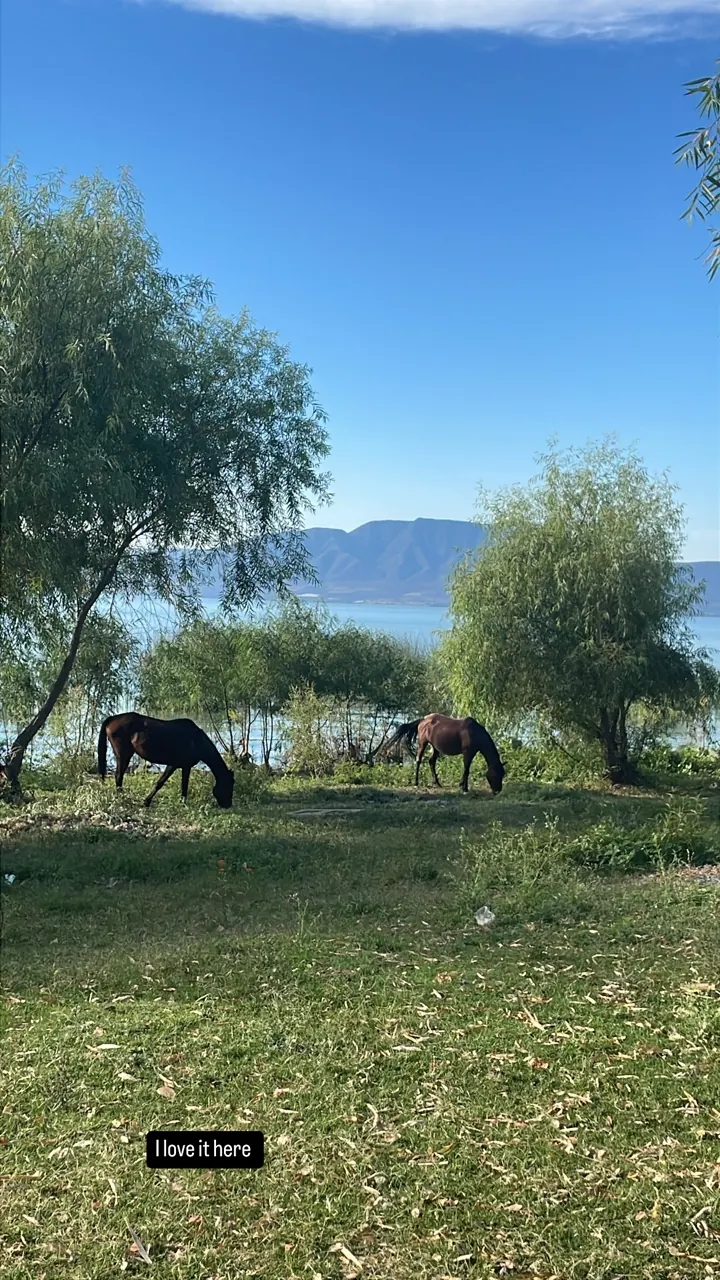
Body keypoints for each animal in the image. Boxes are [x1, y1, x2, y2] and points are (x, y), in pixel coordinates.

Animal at [98, 712, 235, 809]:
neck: (196, 741)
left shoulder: (184, 766)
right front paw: (147, 801)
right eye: (230, 784)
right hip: (123, 755)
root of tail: (112, 719)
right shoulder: (175, 765)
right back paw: (121, 797)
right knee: (118, 776)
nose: (228, 805)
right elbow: (163, 783)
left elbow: (180, 784)